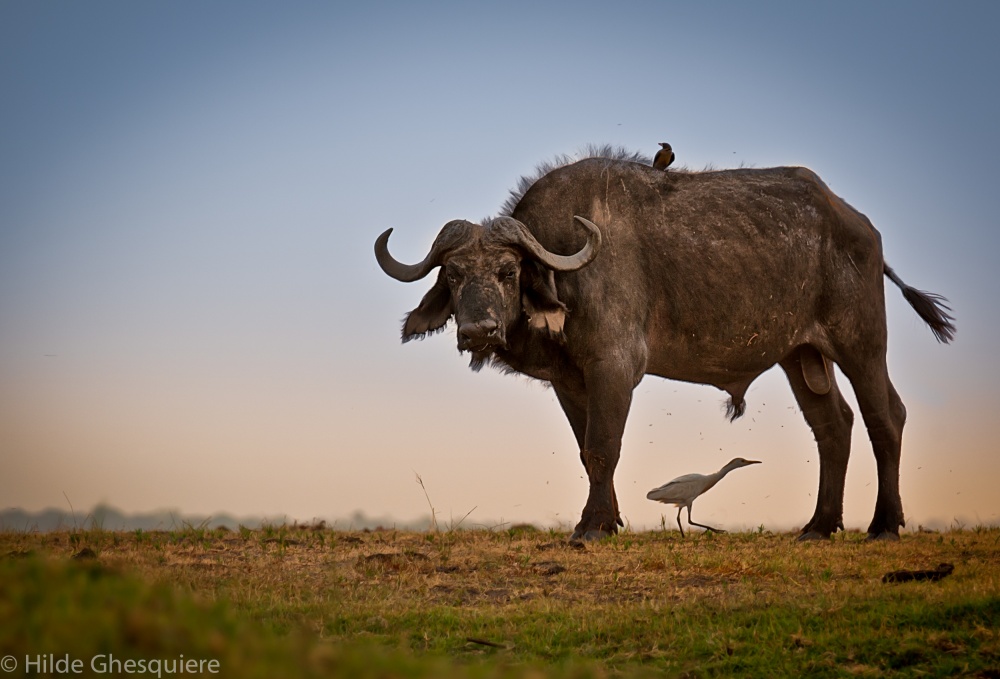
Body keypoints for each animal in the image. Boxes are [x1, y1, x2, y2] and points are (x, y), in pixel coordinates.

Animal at [376, 147, 952, 540]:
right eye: (452, 275)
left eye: (507, 270)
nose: (478, 330)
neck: (568, 269)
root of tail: (860, 227)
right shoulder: (569, 381)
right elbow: (587, 452)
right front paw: (608, 521)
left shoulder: (614, 368)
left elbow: (605, 445)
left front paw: (591, 527)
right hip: (800, 355)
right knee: (834, 426)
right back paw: (819, 525)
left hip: (861, 344)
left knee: (885, 417)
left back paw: (884, 523)